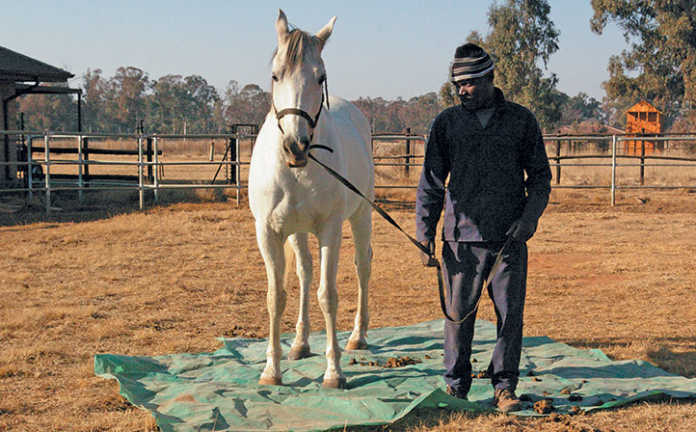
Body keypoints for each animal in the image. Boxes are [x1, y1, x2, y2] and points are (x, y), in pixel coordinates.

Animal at [248, 10, 374, 389]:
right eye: (276, 74)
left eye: (321, 77)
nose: (296, 145)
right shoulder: (269, 233)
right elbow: (277, 296)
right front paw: (271, 369)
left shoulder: (330, 230)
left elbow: (327, 296)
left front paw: (334, 372)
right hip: (298, 231)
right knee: (304, 273)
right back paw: (300, 343)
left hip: (362, 216)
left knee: (362, 266)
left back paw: (357, 337)